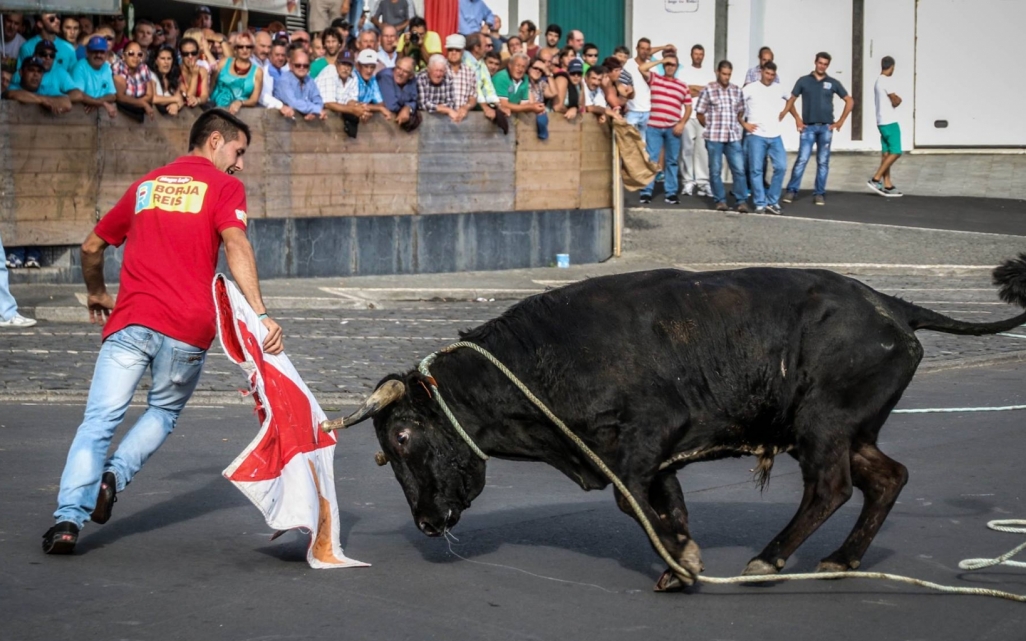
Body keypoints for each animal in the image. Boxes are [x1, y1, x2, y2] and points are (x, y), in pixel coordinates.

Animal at [326, 260, 1026, 590]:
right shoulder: (658, 458)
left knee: (831, 487)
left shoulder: (642, 442)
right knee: (887, 477)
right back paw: (840, 560)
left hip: (823, 424)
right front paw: (681, 555)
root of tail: (890, 305)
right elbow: (668, 506)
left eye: (402, 437)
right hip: (852, 430)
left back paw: (769, 560)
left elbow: (632, 502)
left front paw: (682, 565)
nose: (425, 521)